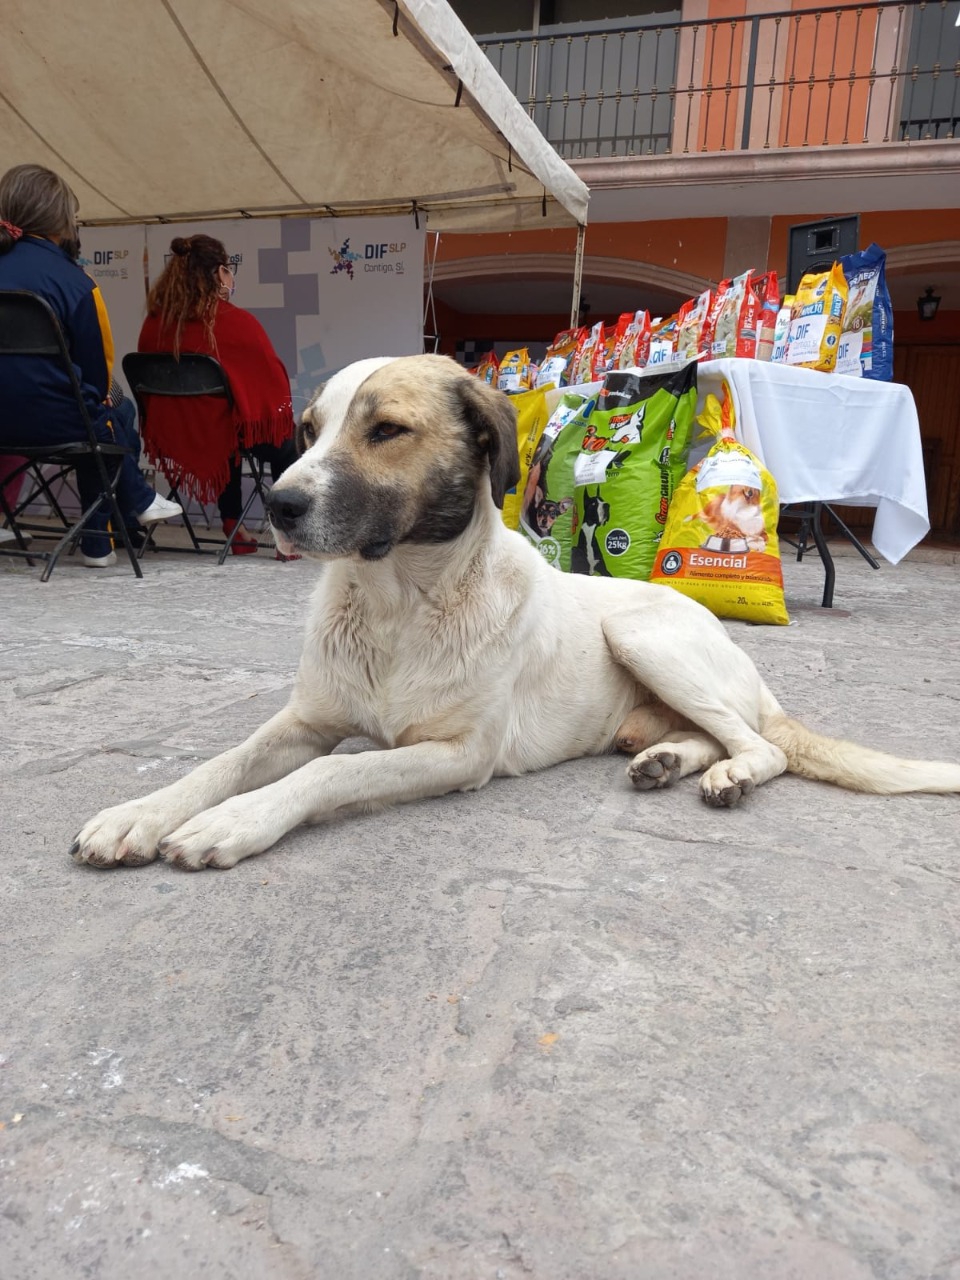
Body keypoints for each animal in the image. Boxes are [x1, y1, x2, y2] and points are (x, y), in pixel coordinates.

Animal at [73, 350, 960, 870]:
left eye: (385, 430)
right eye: (309, 430)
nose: (281, 507)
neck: (399, 605)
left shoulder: (460, 754)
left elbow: (334, 769)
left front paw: (233, 822)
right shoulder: (305, 718)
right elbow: (222, 761)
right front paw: (139, 815)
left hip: (642, 633)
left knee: (759, 745)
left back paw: (730, 773)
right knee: (711, 734)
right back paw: (667, 759)